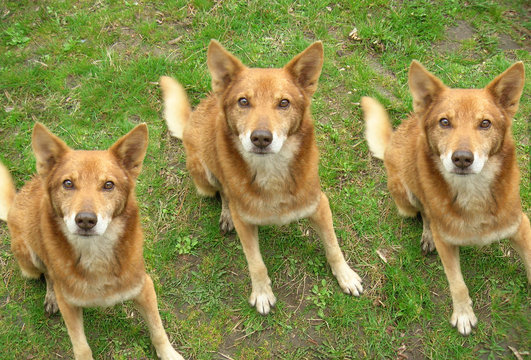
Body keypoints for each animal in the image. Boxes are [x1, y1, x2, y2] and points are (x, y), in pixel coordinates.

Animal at [0, 122, 183, 358]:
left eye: (108, 185)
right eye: (68, 183)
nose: (85, 220)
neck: (95, 253)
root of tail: (15, 201)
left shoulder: (144, 287)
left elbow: (158, 329)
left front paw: (170, 354)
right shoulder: (69, 305)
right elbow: (81, 346)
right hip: (29, 259)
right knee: (48, 274)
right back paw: (51, 296)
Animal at [160, 40, 364, 316]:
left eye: (284, 103)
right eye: (243, 101)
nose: (260, 138)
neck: (272, 172)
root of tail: (194, 115)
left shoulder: (320, 205)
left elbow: (333, 246)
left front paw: (346, 276)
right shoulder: (246, 223)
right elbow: (255, 262)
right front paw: (262, 293)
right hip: (205, 176)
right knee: (223, 193)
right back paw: (226, 213)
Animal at [362, 59, 531, 334]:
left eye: (485, 123)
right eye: (444, 122)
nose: (462, 158)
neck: (472, 192)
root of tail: (393, 140)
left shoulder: (521, 225)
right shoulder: (447, 243)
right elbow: (457, 282)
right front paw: (463, 313)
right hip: (407, 197)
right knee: (425, 214)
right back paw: (427, 234)